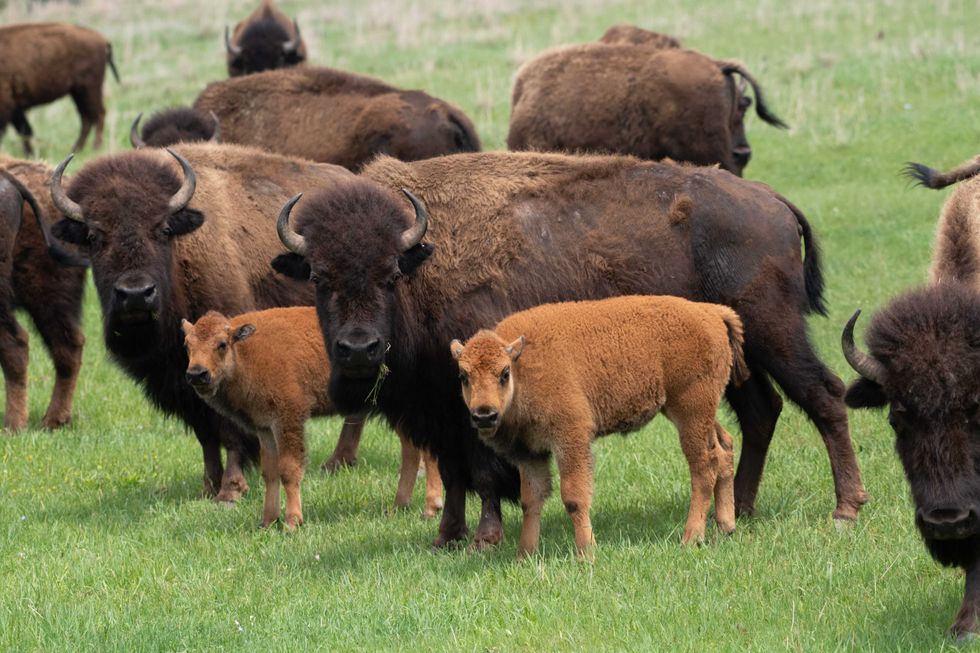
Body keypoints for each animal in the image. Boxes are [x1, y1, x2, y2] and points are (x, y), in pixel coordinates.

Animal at [0, 23, 119, 155]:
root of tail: (103, 40)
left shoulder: (8, 106)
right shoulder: (16, 109)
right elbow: (25, 131)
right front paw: (30, 154)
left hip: (89, 89)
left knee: (98, 114)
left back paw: (95, 148)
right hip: (78, 93)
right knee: (86, 118)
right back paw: (77, 149)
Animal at [48, 143, 352, 500]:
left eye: (163, 229)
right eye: (94, 236)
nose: (136, 294)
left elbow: (229, 430)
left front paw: (230, 491)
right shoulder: (180, 379)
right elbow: (205, 433)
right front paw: (209, 486)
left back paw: (338, 463)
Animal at [271, 151, 868, 549]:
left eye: (390, 274)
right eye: (319, 277)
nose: (358, 348)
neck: (425, 258)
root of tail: (771, 199)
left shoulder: (478, 401)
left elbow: (483, 472)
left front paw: (486, 537)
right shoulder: (441, 407)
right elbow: (456, 471)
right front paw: (446, 536)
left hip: (776, 333)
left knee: (824, 394)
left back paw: (845, 508)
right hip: (735, 357)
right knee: (762, 411)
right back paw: (741, 509)